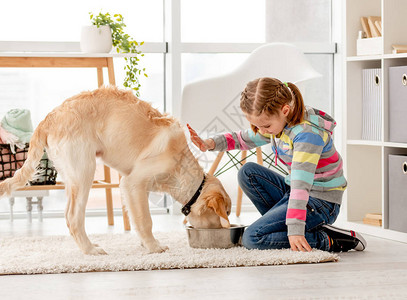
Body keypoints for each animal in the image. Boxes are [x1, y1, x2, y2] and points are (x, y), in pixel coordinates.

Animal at [0, 85, 231, 254]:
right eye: (227, 212)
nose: (228, 229)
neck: (181, 164)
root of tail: (50, 117)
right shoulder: (132, 183)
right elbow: (146, 220)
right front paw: (154, 247)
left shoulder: (140, 188)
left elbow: (137, 216)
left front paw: (144, 243)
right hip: (84, 171)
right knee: (73, 217)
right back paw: (90, 250)